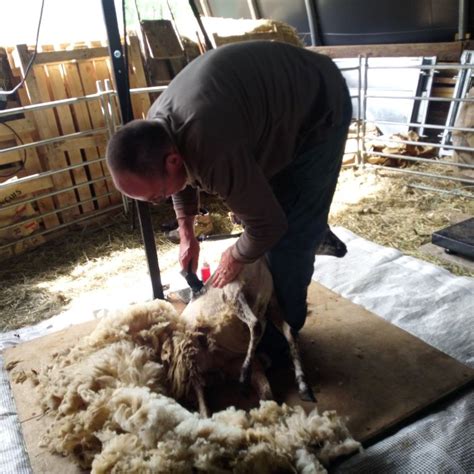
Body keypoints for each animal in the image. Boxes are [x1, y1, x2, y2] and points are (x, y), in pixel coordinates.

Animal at [33, 228, 360, 472]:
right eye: (322, 232)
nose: (344, 249)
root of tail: (218, 371)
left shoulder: (272, 303)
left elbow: (289, 333)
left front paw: (304, 384)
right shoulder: (234, 292)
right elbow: (257, 326)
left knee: (259, 392)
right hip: (190, 355)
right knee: (202, 396)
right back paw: (223, 401)